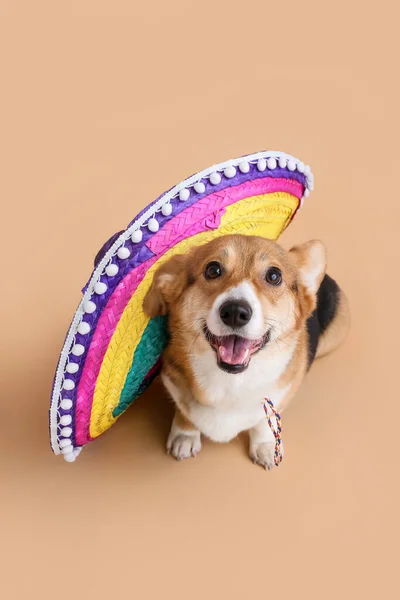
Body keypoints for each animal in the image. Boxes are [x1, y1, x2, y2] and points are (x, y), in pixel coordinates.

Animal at [144, 234, 350, 468]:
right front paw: (184, 435)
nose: (235, 312)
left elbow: (264, 421)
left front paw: (266, 445)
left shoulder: (282, 393)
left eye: (274, 276)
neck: (229, 381)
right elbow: (184, 412)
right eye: (212, 269)